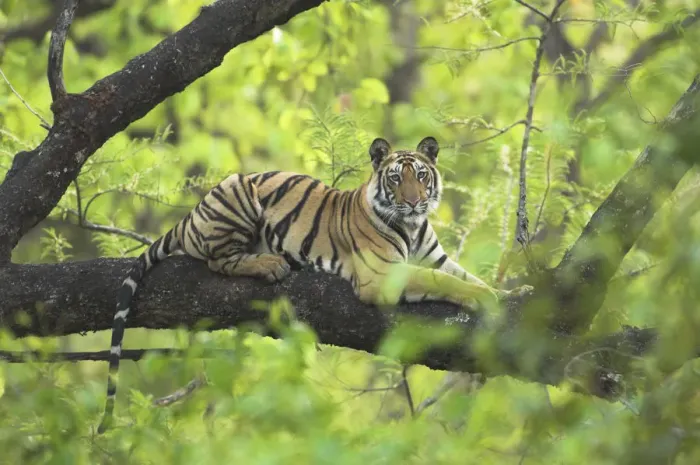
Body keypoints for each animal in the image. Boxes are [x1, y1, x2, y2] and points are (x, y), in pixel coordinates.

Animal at [97, 136, 532, 432]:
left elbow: (462, 275)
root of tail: (192, 213)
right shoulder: (383, 274)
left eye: (421, 176)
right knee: (220, 259)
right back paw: (271, 265)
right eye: (396, 179)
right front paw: (486, 298)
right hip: (238, 195)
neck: (411, 226)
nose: (412, 202)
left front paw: (512, 292)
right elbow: (444, 281)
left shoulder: (434, 257)